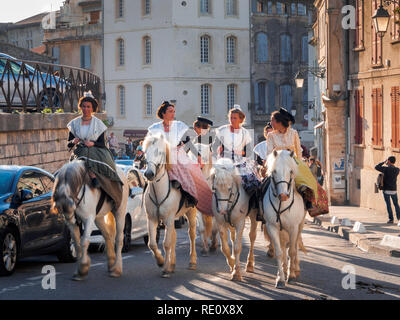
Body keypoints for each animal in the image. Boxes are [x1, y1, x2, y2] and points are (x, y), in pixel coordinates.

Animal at [143, 133, 198, 278]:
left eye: (159, 152)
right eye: (145, 152)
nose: (149, 174)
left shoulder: (168, 218)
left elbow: (166, 243)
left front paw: (166, 268)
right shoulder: (152, 219)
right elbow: (152, 244)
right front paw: (161, 261)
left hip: (191, 212)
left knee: (192, 234)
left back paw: (192, 262)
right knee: (174, 236)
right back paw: (172, 264)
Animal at [262, 149, 306, 288]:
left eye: (291, 171)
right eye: (274, 171)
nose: (283, 196)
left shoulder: (293, 228)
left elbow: (292, 251)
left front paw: (291, 275)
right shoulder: (272, 227)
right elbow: (279, 253)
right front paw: (280, 278)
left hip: (300, 226)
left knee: (295, 247)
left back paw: (295, 269)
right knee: (283, 248)